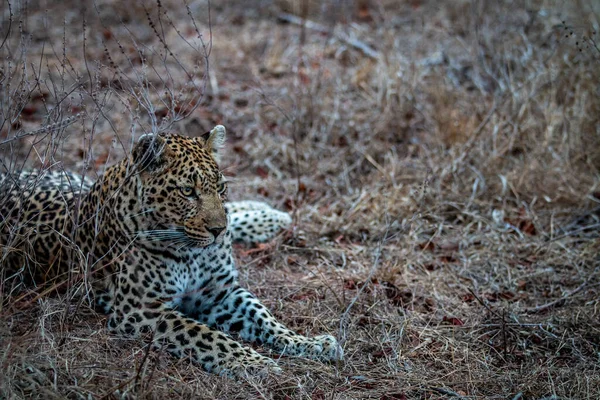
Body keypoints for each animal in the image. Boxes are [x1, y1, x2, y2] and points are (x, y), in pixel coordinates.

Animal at [1, 126, 342, 378]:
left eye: (220, 188)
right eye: (187, 191)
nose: (218, 230)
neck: (191, 251)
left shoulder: (218, 292)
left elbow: (265, 318)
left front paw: (310, 343)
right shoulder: (141, 310)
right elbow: (208, 336)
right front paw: (253, 363)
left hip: (72, 179)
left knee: (236, 213)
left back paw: (268, 215)